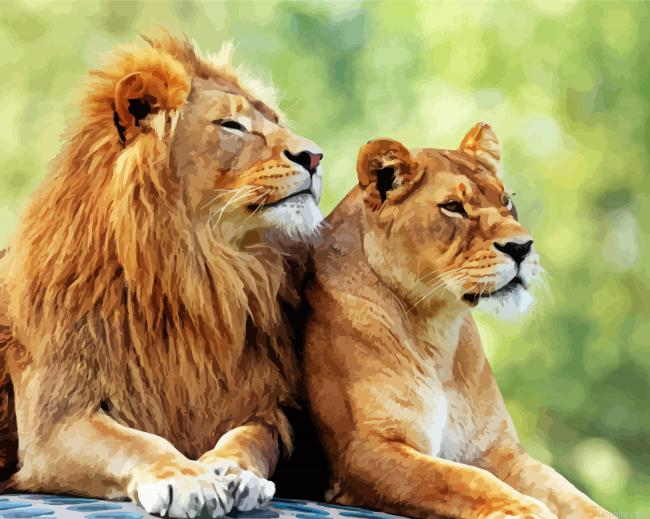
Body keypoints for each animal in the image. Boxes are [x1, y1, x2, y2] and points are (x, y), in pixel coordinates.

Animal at [0, 33, 324, 518]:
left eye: (275, 121)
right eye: (231, 125)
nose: (315, 156)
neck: (200, 273)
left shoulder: (263, 406)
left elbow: (248, 439)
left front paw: (233, 471)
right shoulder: (54, 422)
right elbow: (138, 443)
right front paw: (186, 479)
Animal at [303, 123, 610, 518]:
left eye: (505, 201)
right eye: (453, 207)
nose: (522, 247)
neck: (437, 330)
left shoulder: (497, 449)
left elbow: (569, 493)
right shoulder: (364, 451)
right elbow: (460, 479)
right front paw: (525, 509)